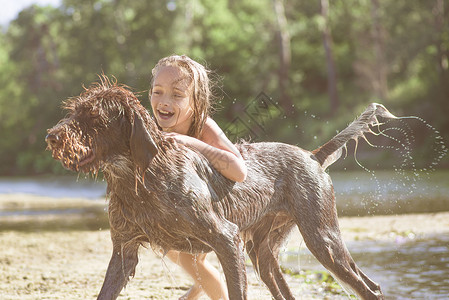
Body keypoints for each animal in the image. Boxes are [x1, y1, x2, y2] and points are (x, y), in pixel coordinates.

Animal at [44, 77, 392, 298]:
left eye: (93, 116)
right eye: (74, 110)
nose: (52, 136)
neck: (139, 178)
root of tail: (311, 155)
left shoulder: (226, 238)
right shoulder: (124, 250)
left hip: (322, 239)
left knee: (370, 288)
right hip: (263, 254)